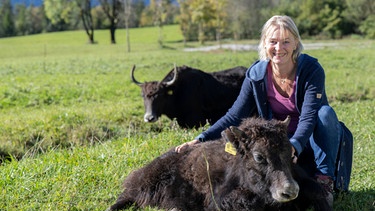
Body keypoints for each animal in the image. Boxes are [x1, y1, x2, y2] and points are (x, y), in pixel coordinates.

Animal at [107, 118, 330, 210]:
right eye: (259, 156)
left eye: (289, 152)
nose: (289, 191)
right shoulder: (220, 199)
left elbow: (321, 194)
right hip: (144, 183)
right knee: (125, 197)